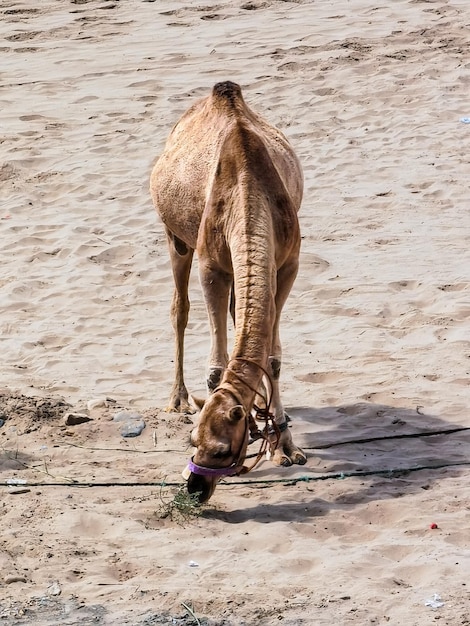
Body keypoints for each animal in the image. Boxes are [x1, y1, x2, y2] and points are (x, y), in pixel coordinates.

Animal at [149, 80, 306, 500]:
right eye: (192, 441)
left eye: (220, 450)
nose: (194, 487)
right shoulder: (213, 265)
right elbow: (217, 366)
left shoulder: (286, 263)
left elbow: (272, 357)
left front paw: (285, 446)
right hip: (175, 237)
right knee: (180, 308)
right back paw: (177, 399)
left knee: (237, 312)